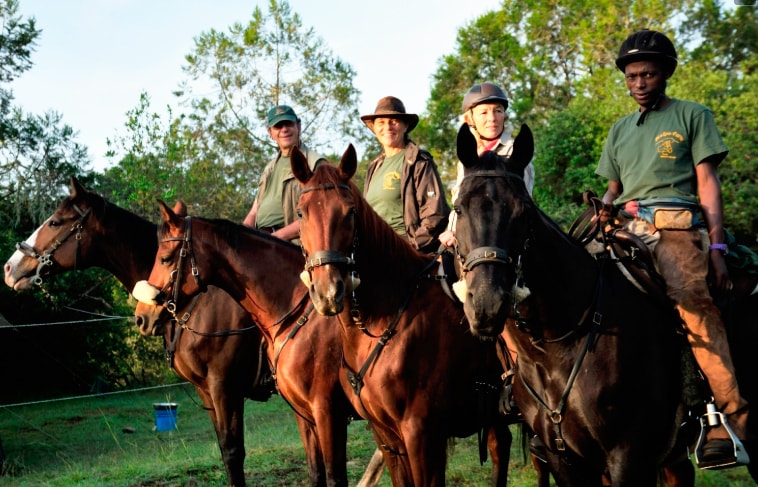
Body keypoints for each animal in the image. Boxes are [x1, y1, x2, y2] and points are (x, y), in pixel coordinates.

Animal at [2, 177, 274, 486]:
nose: (9, 268)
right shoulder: (207, 389)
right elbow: (225, 451)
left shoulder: (224, 387)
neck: (197, 301)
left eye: (55, 222)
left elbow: (233, 453)